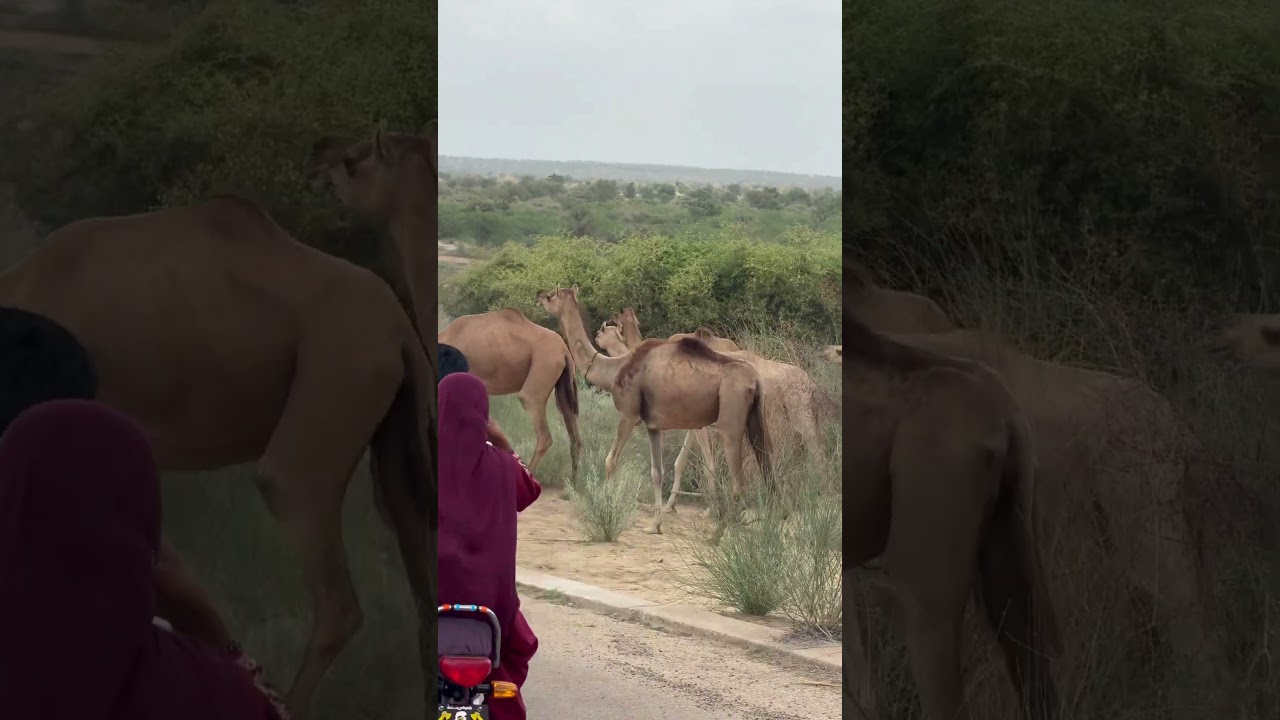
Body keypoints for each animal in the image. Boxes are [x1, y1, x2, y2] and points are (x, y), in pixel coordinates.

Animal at [536, 286, 772, 542]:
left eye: (552, 295)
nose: (538, 297)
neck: (615, 369)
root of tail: (755, 381)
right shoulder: (653, 426)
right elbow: (657, 473)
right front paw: (655, 525)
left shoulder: (628, 414)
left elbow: (610, 461)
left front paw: (608, 511)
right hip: (755, 421)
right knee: (769, 472)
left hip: (730, 423)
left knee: (739, 482)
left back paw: (715, 536)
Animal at [597, 318, 825, 513]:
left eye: (602, 331)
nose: (596, 339)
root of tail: (811, 384)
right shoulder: (694, 423)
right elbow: (682, 461)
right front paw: (671, 505)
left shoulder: (701, 425)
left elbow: (706, 463)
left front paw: (709, 509)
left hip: (800, 414)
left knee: (815, 452)